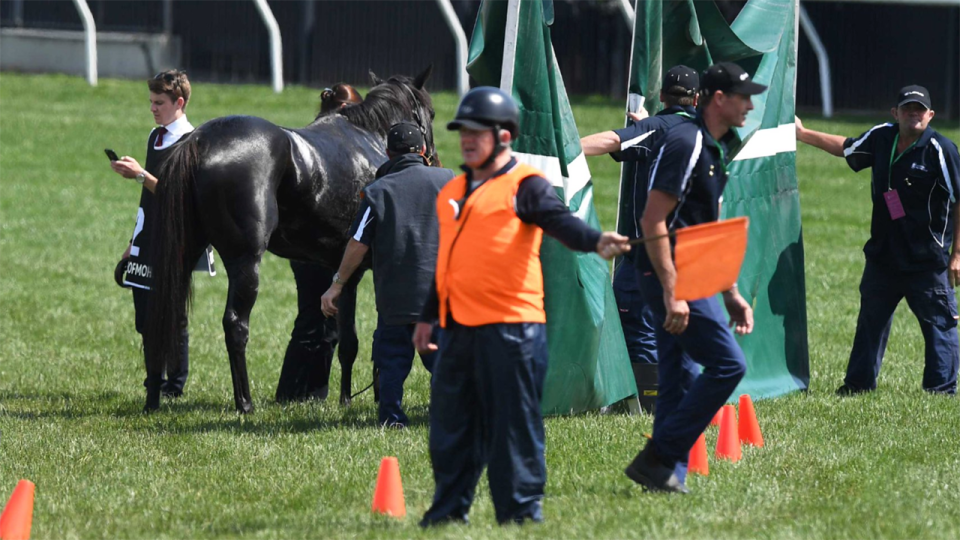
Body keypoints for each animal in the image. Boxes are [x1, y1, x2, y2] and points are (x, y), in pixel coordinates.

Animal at [143, 67, 438, 414]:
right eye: (431, 112)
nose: (434, 158)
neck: (369, 137)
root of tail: (199, 141)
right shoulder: (361, 269)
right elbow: (360, 340)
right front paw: (356, 399)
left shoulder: (339, 269)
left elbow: (347, 340)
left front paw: (348, 397)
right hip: (245, 261)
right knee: (235, 325)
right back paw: (245, 403)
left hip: (182, 255)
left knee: (163, 316)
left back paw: (153, 399)